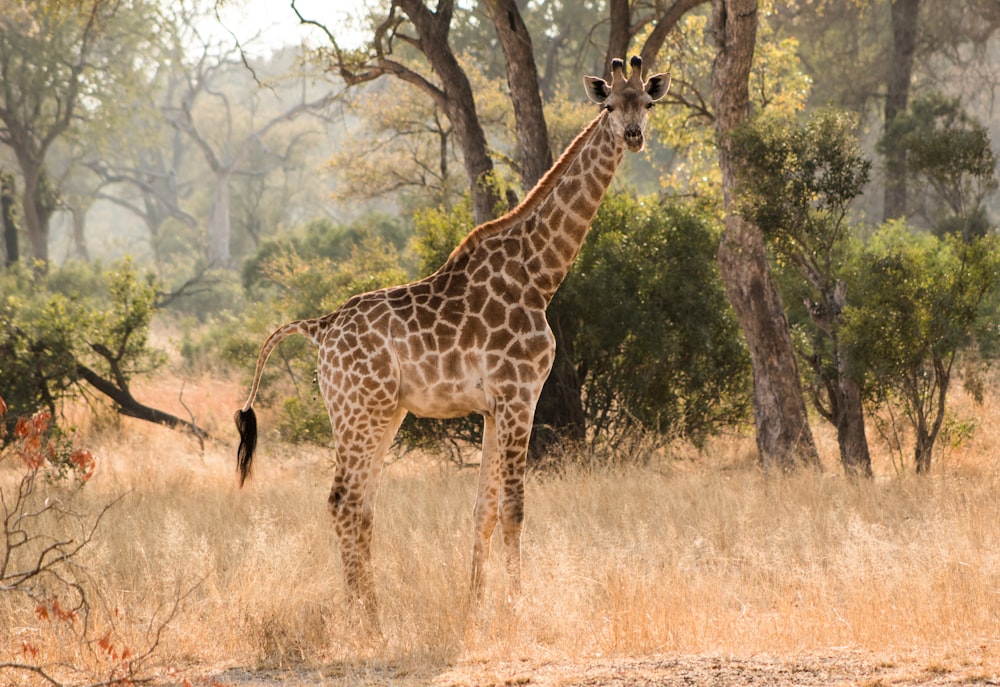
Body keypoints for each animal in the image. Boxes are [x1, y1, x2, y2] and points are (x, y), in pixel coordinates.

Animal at [235, 56, 668, 620]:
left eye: (648, 103)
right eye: (610, 106)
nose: (634, 136)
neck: (539, 276)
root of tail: (319, 328)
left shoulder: (493, 408)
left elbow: (483, 508)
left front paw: (475, 602)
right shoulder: (518, 396)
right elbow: (514, 507)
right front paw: (518, 606)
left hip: (383, 412)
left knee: (361, 503)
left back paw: (369, 606)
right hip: (359, 411)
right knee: (343, 500)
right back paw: (365, 617)